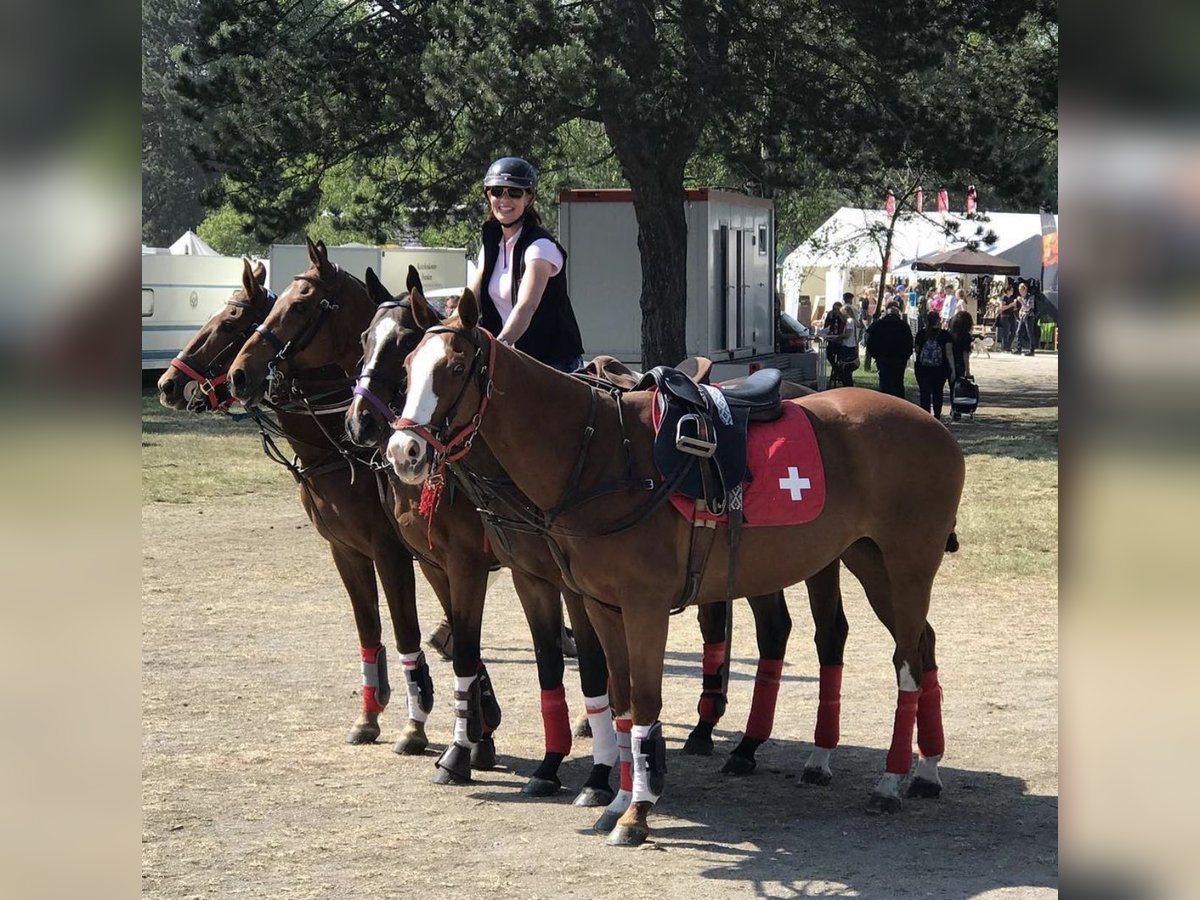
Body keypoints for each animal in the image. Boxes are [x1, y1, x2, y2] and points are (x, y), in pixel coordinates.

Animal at [154, 259, 436, 753]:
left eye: (230, 323)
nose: (167, 384)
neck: (343, 449)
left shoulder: (392, 553)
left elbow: (406, 630)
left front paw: (414, 727)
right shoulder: (346, 551)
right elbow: (368, 628)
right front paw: (368, 716)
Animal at [391, 292, 964, 849]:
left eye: (456, 366)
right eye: (408, 365)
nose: (404, 450)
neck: (600, 454)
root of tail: (935, 426)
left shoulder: (643, 607)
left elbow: (644, 702)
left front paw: (636, 814)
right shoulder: (601, 605)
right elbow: (621, 701)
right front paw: (619, 798)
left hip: (908, 567)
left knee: (906, 662)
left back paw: (891, 780)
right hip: (868, 561)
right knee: (924, 645)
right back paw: (925, 769)